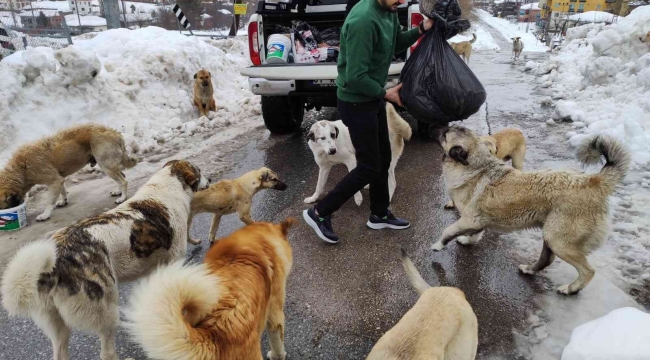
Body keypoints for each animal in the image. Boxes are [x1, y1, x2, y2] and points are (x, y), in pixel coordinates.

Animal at [0, 124, 139, 221]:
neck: (21, 168)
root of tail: (115, 133)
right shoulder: (59, 179)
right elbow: (63, 190)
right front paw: (63, 201)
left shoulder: (54, 181)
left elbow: (50, 201)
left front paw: (45, 214)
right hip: (109, 165)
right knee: (122, 176)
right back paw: (118, 192)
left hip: (106, 165)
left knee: (123, 181)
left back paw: (122, 197)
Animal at [0, 160, 208, 360]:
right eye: (199, 171)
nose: (211, 179)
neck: (167, 185)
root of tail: (57, 256)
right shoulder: (174, 260)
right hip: (106, 311)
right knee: (106, 353)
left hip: (57, 325)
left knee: (60, 354)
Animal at [430, 126, 628, 296]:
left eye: (446, 134)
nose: (438, 127)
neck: (475, 165)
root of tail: (594, 181)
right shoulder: (478, 220)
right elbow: (475, 234)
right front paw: (467, 240)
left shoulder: (469, 219)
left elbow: (448, 231)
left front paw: (438, 245)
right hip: (550, 235)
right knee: (547, 259)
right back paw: (530, 269)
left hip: (559, 241)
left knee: (588, 271)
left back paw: (571, 289)